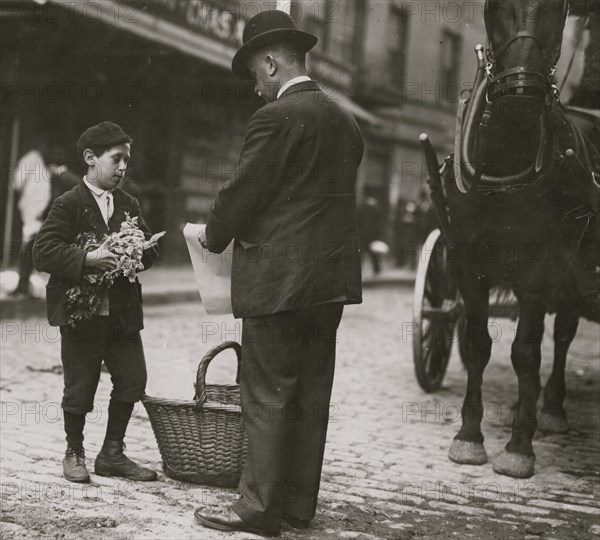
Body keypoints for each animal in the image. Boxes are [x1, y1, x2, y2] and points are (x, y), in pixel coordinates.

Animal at [422, 0, 600, 480]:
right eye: (496, 7)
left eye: (558, 9)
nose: (522, 90)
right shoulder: (468, 263)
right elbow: (477, 345)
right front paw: (469, 436)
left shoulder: (540, 269)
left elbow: (525, 353)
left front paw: (520, 446)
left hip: (572, 274)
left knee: (560, 337)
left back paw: (550, 409)